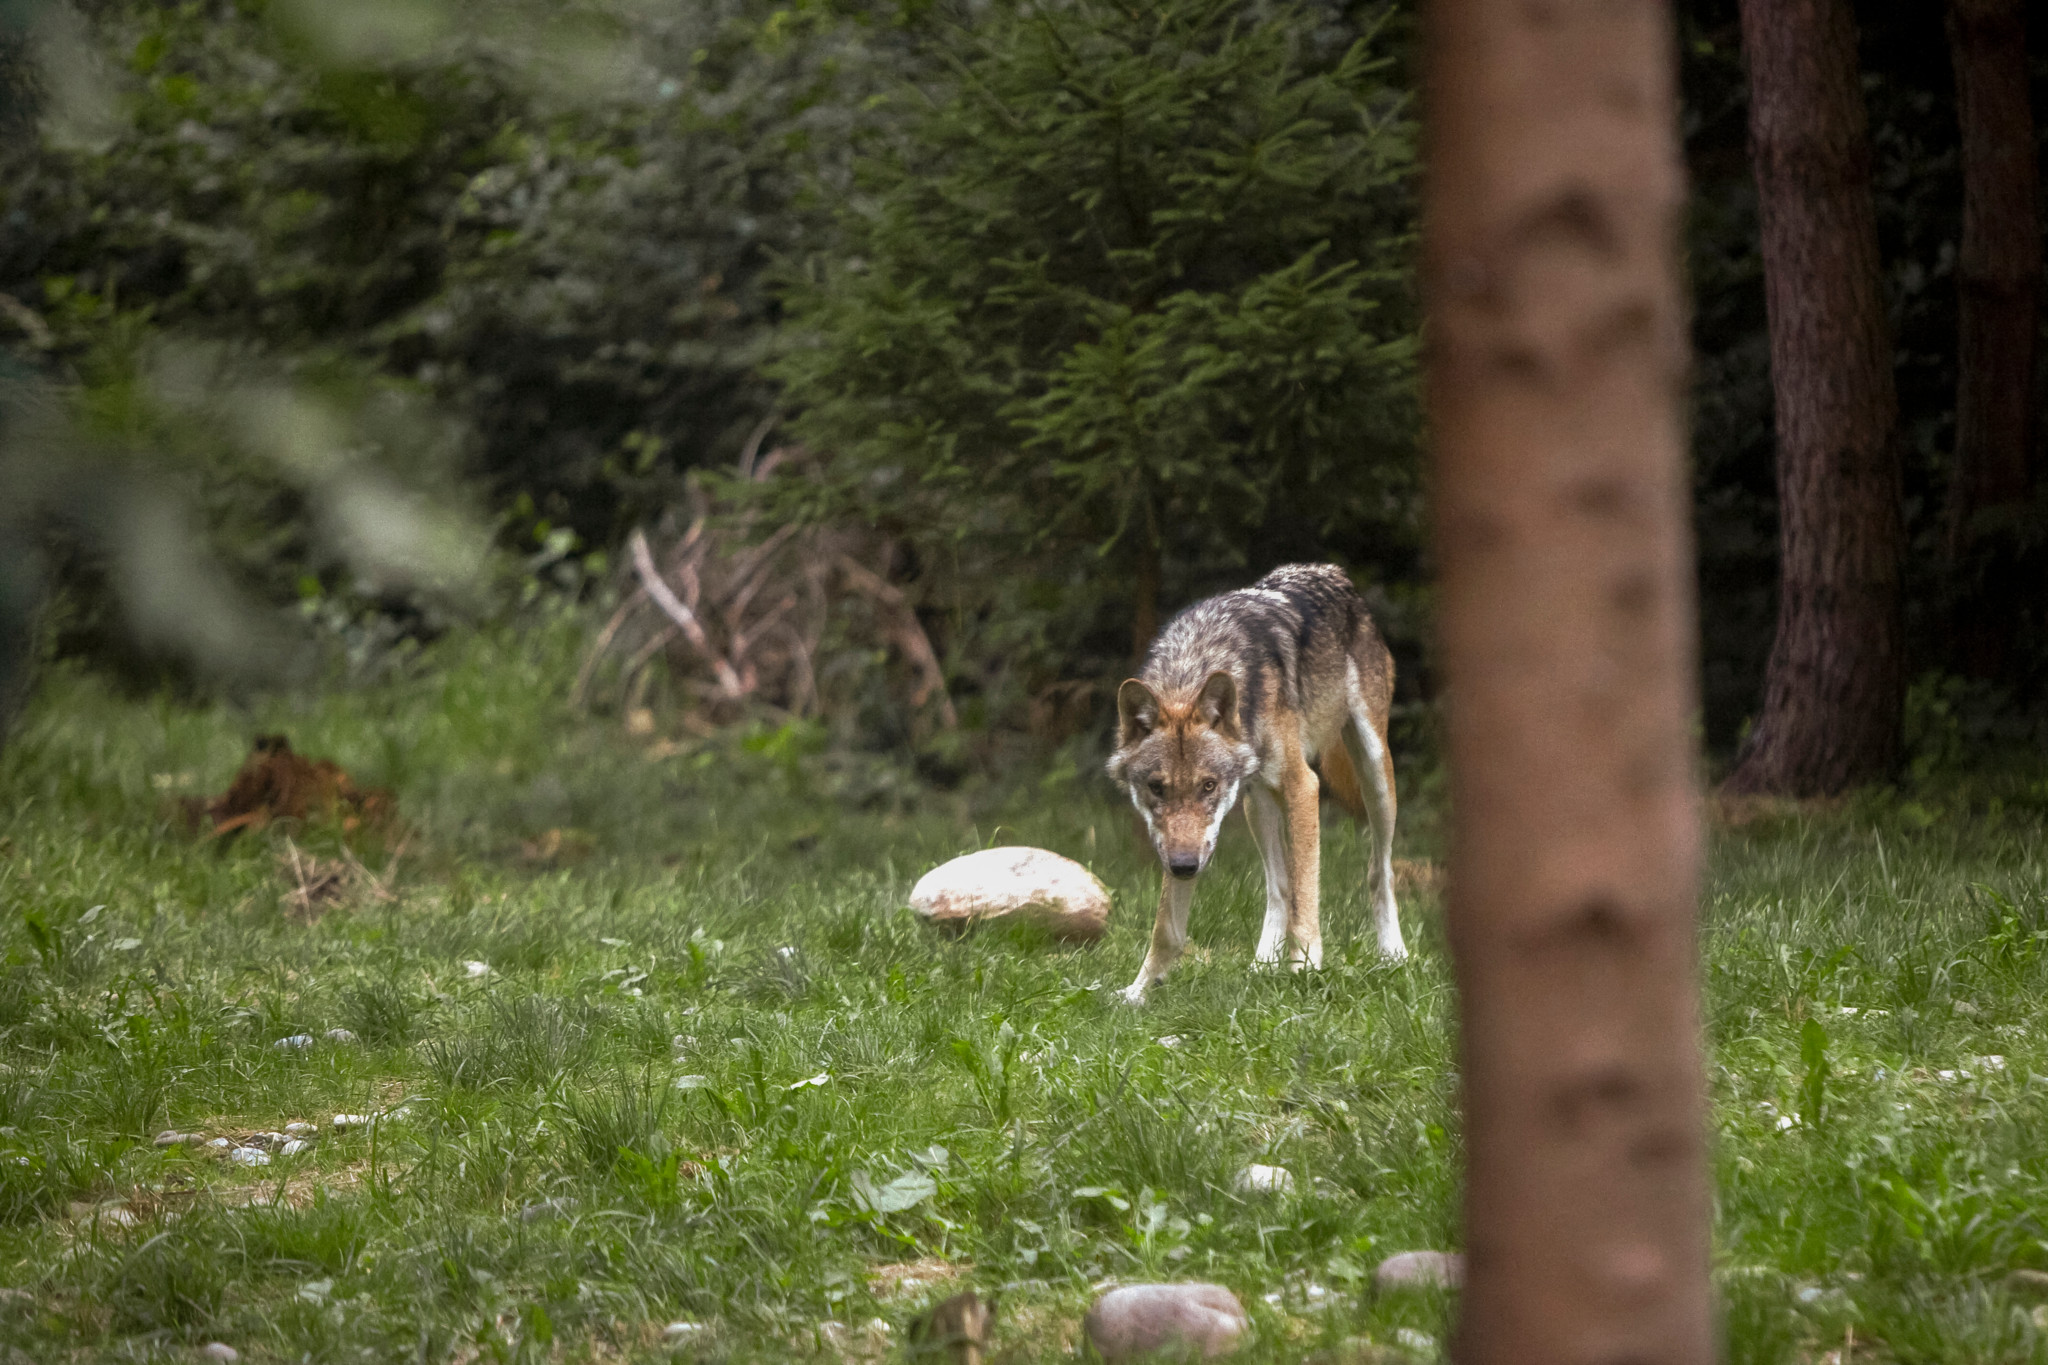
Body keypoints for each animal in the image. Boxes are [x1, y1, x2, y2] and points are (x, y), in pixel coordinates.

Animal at [1105, 564, 1403, 1003]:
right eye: (1156, 788)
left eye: (1208, 786)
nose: (1184, 867)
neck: (1196, 665)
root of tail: (1332, 573)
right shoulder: (1175, 843)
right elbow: (1166, 929)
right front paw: (1138, 991)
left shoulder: (1303, 786)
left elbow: (1306, 898)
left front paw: (1306, 971)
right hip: (1255, 803)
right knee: (1277, 886)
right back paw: (1262, 967)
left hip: (1375, 774)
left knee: (1378, 872)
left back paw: (1393, 956)